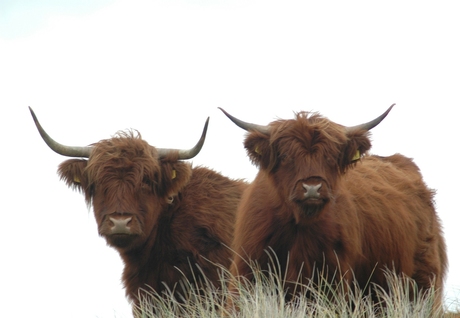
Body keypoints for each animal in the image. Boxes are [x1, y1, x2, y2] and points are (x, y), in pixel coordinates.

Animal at [221, 105, 448, 310]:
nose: (312, 188)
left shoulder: (333, 280)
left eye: (330, 157)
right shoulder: (248, 272)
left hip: (422, 282)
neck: (298, 226)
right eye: (286, 156)